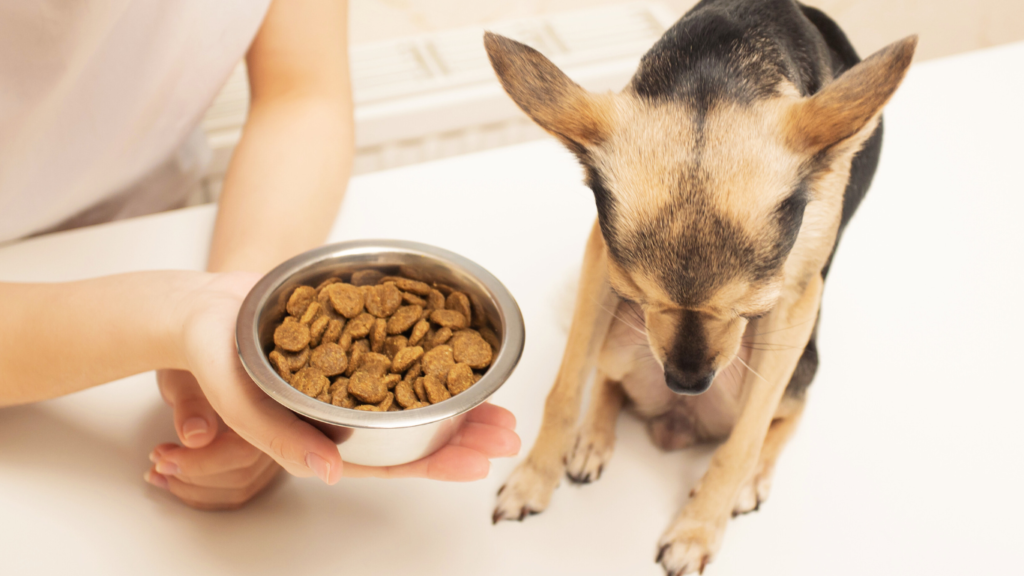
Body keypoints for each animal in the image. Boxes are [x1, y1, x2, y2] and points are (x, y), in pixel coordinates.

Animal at [483, 0, 917, 569]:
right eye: (635, 294)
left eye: (754, 307)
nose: (685, 382)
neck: (719, 71)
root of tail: (676, 422)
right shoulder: (601, 260)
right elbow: (566, 386)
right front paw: (535, 478)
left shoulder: (794, 300)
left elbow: (743, 443)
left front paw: (697, 531)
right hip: (622, 339)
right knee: (608, 379)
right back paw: (592, 438)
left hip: (791, 364)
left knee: (784, 413)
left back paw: (753, 478)